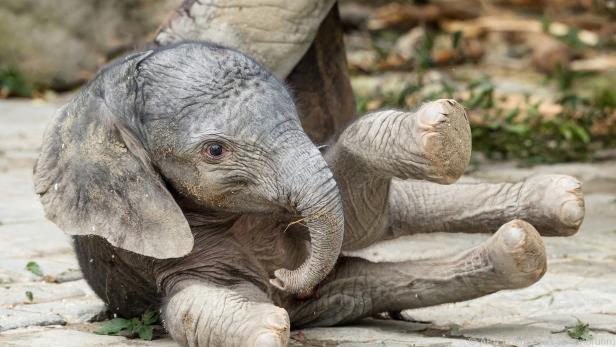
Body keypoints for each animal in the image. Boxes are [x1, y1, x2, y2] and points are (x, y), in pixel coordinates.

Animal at [33, 42, 584, 347]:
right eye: (215, 150)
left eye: (296, 112)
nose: (284, 279)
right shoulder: (153, 248)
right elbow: (189, 304)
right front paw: (266, 325)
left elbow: (355, 197)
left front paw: (441, 134)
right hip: (340, 295)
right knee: (374, 281)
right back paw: (522, 247)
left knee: (392, 213)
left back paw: (556, 203)